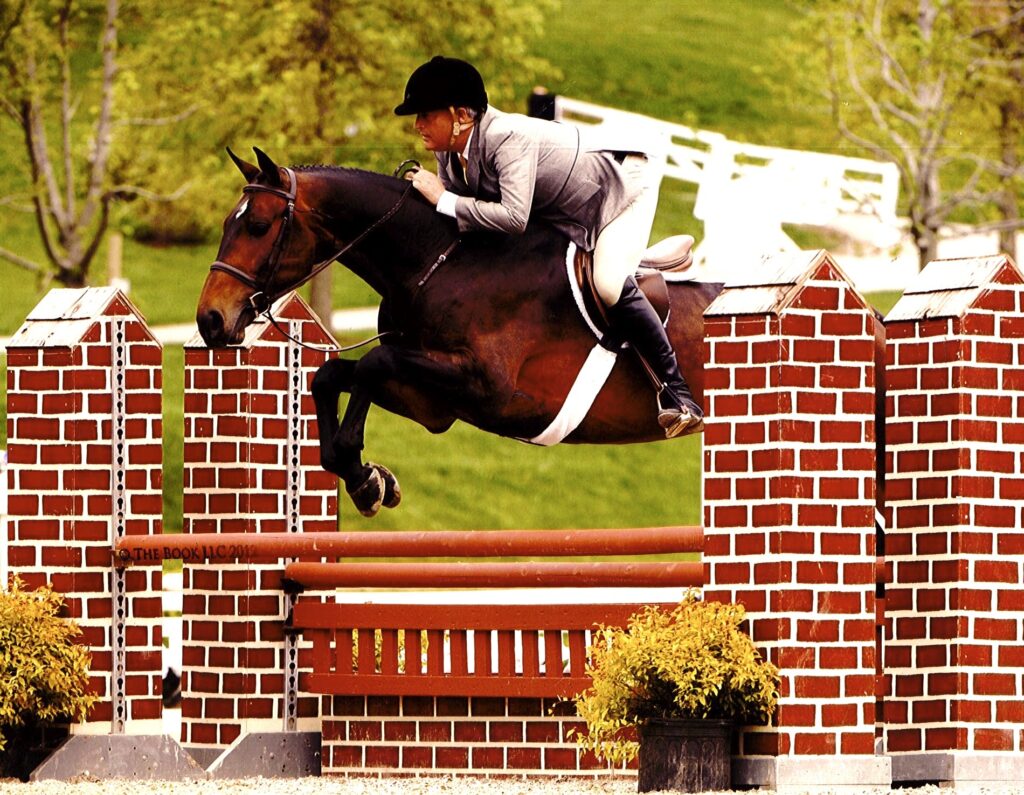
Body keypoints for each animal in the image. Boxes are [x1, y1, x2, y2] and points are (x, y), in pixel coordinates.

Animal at [196, 148, 723, 517]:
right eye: (224, 224)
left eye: (259, 225)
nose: (209, 320)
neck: (438, 263)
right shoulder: (432, 403)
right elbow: (330, 376)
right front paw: (367, 480)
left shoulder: (490, 389)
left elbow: (371, 364)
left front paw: (365, 476)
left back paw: (681, 408)